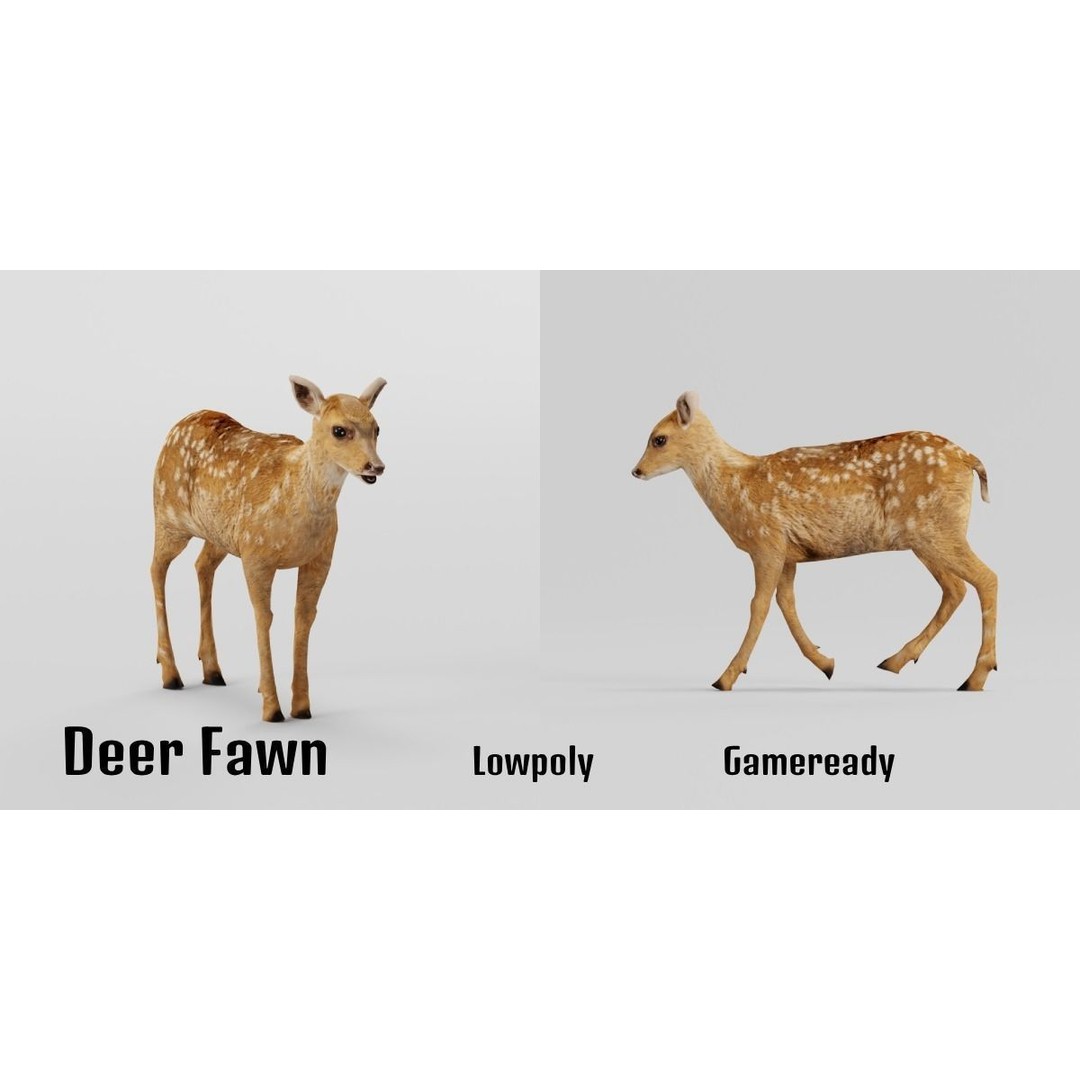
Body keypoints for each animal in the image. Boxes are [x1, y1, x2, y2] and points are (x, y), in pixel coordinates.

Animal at [152, 375, 387, 722]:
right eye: (339, 430)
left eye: (377, 428)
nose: (376, 467)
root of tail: (176, 426)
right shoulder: (257, 554)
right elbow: (264, 617)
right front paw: (271, 708)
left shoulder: (321, 557)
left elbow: (304, 617)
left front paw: (302, 707)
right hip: (168, 515)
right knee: (156, 569)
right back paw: (171, 674)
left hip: (219, 535)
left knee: (202, 566)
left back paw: (212, 671)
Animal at [632, 392, 997, 691]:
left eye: (659, 439)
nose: (636, 471)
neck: (737, 484)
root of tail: (969, 458)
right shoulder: (789, 554)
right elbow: (786, 603)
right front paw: (826, 664)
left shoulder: (766, 542)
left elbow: (758, 605)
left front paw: (726, 677)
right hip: (925, 537)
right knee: (955, 588)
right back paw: (895, 661)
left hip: (938, 529)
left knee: (986, 578)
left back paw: (974, 678)